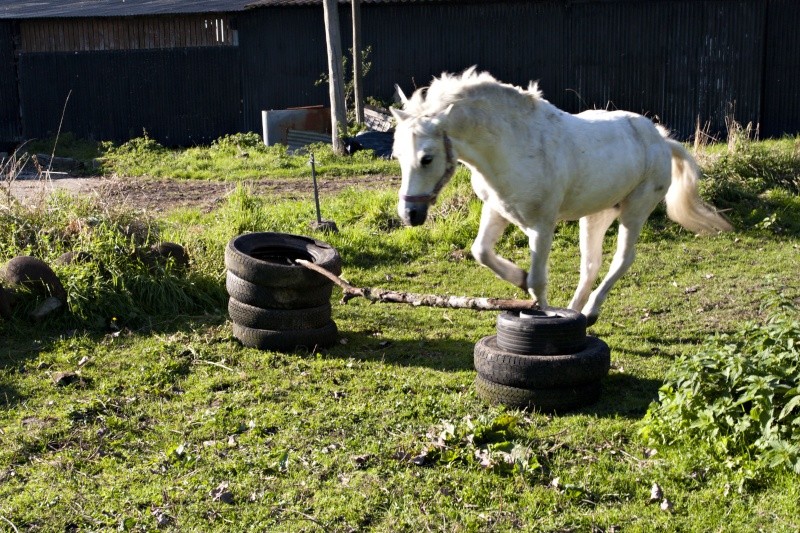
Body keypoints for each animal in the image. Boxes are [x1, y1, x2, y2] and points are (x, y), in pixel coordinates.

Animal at [388, 68, 732, 322]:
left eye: (427, 158)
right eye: (397, 155)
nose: (410, 215)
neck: (513, 145)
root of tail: (661, 140)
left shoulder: (541, 226)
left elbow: (538, 279)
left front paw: (541, 310)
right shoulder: (496, 210)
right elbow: (481, 252)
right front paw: (519, 277)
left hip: (635, 211)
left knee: (622, 259)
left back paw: (589, 311)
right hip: (596, 215)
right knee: (590, 263)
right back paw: (575, 312)